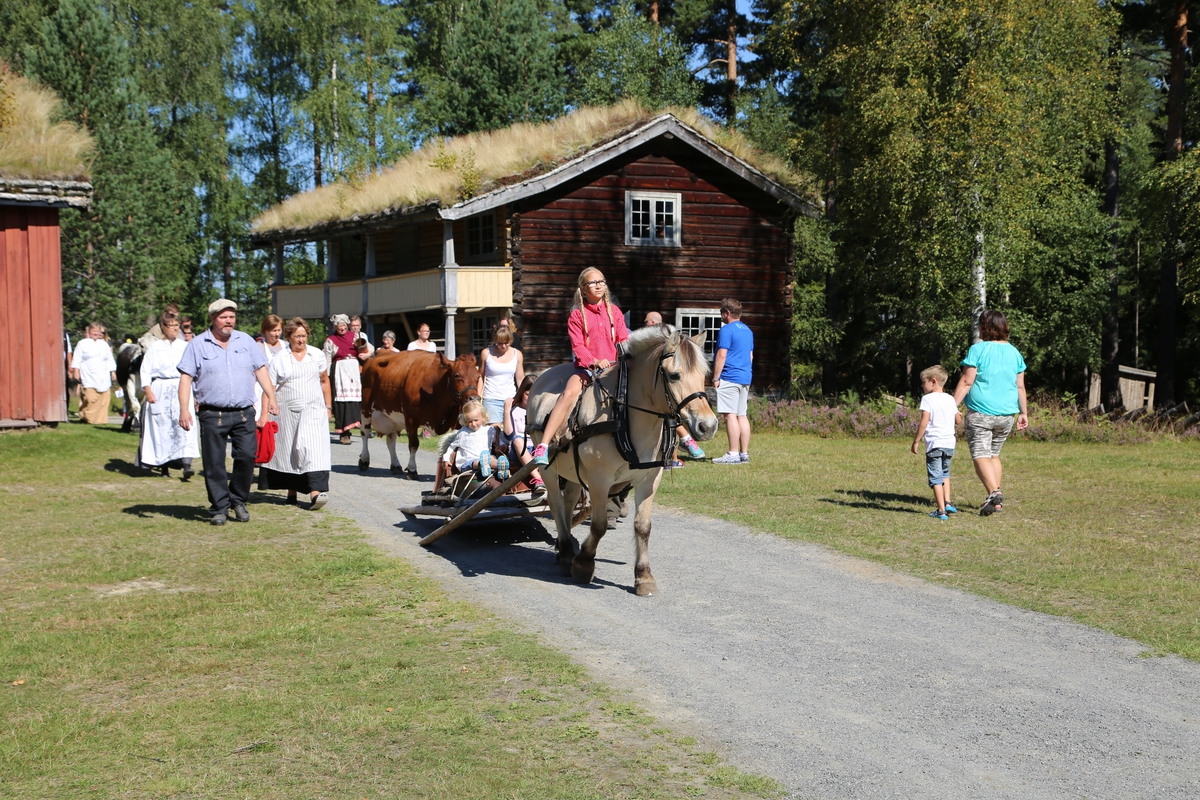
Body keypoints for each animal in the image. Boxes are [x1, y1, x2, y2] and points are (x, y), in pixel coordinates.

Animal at [528, 326, 715, 594]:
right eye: (674, 375)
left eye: (704, 375)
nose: (708, 426)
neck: (624, 415)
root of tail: (544, 376)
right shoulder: (599, 479)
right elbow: (599, 526)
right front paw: (584, 564)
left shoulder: (650, 479)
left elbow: (643, 526)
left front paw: (644, 576)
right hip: (549, 468)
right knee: (555, 501)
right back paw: (565, 553)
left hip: (572, 470)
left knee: (568, 500)